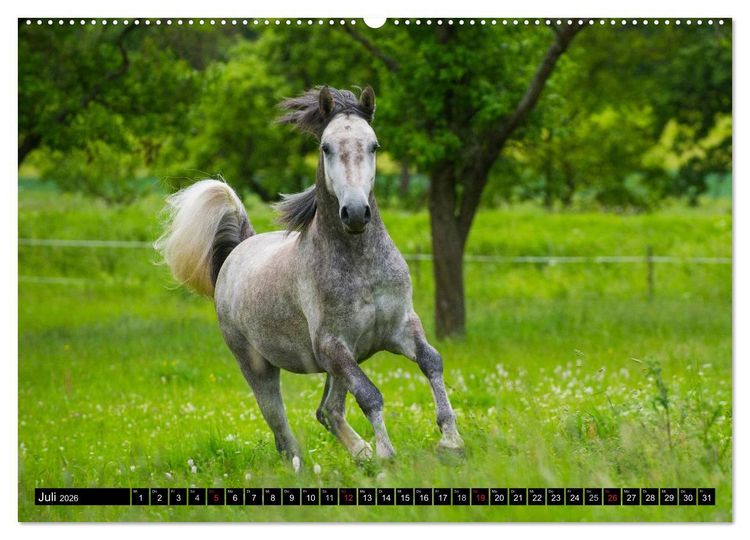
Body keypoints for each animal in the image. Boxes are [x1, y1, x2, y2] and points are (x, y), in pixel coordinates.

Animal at [156, 86, 464, 468]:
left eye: (374, 145)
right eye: (326, 147)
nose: (356, 213)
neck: (361, 266)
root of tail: (238, 250)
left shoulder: (400, 327)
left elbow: (431, 362)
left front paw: (450, 442)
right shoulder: (333, 345)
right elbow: (370, 395)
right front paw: (387, 455)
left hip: (342, 362)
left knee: (327, 411)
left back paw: (360, 454)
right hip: (259, 366)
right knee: (282, 431)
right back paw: (312, 466)